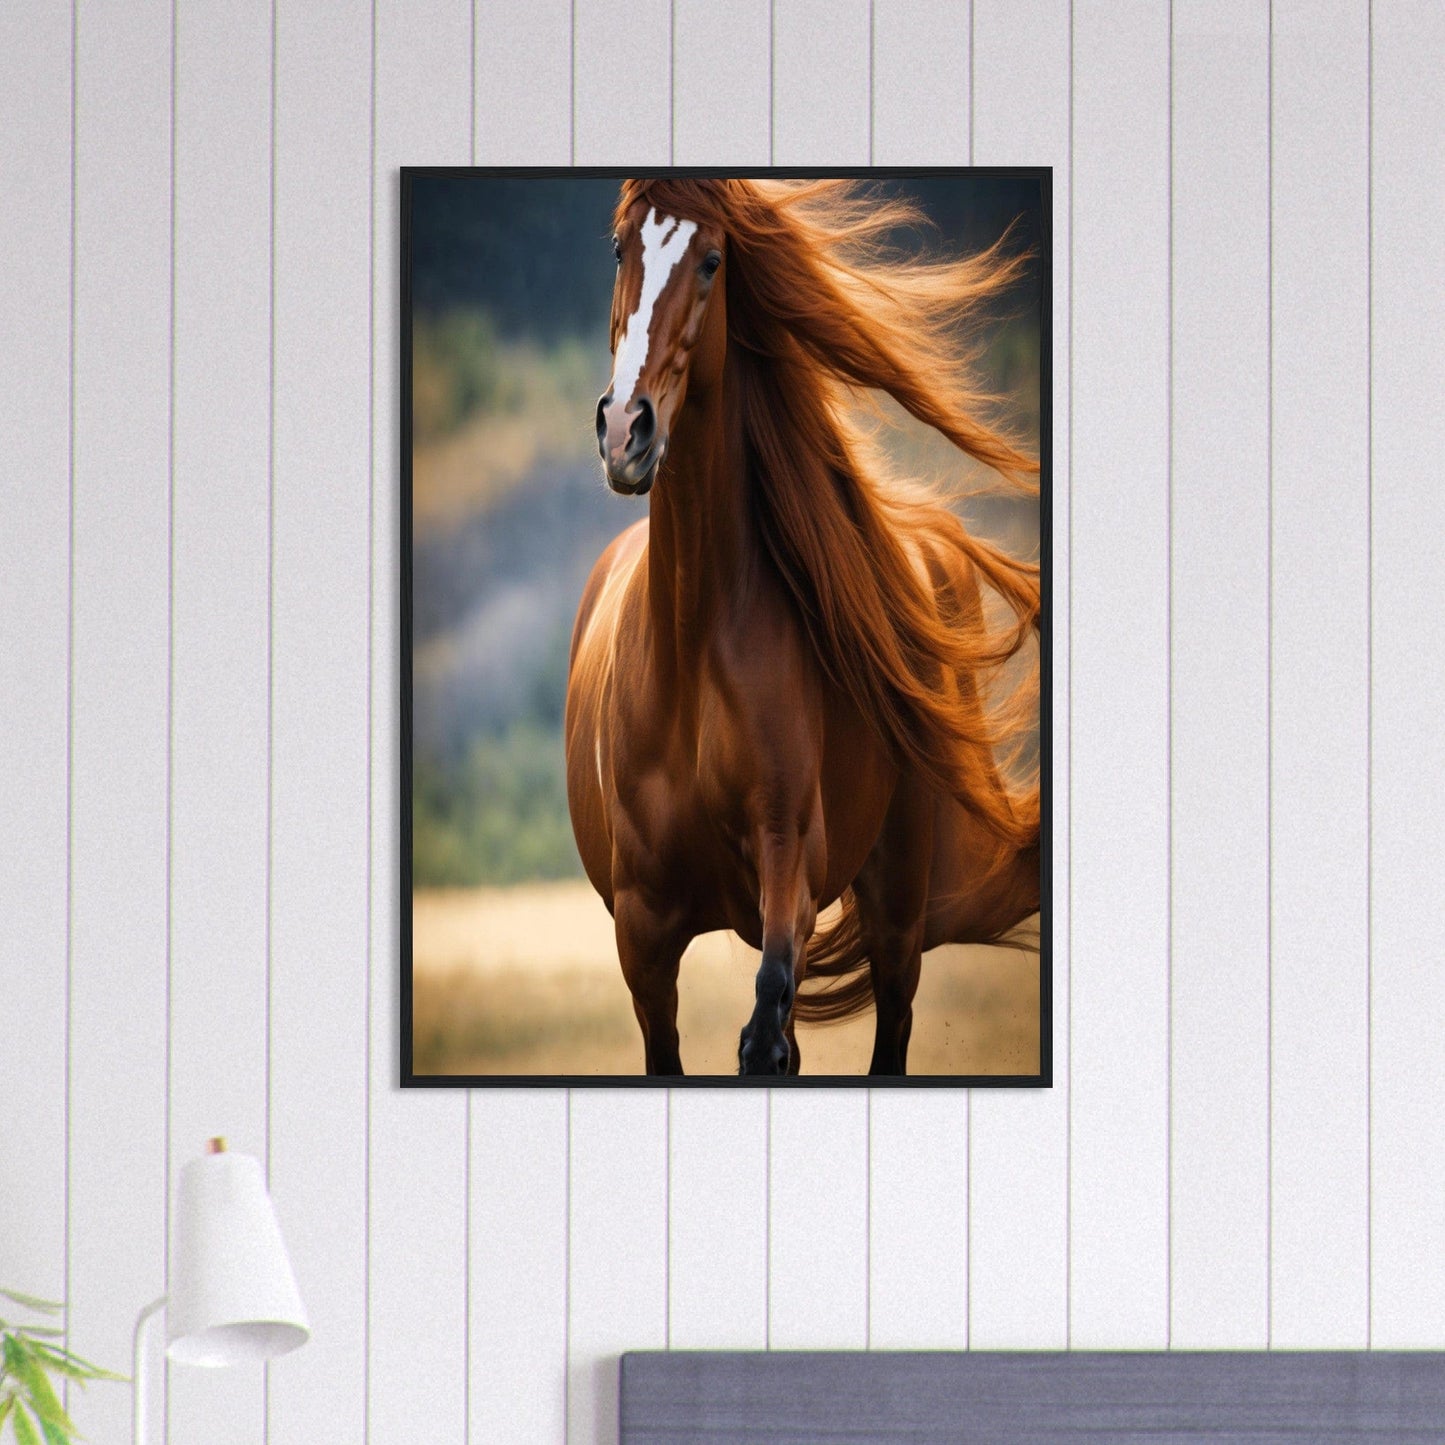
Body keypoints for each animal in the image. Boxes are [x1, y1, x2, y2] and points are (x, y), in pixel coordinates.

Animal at [563, 177, 1042, 1077]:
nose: (624, 434)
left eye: (713, 261)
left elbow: (766, 1031)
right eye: (618, 248)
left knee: (885, 1023)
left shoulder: (789, 860)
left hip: (895, 904)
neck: (689, 646)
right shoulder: (642, 932)